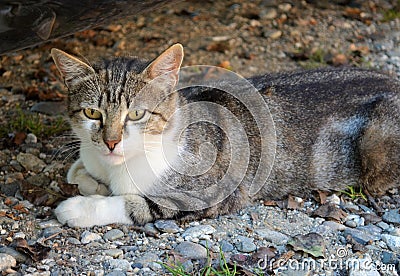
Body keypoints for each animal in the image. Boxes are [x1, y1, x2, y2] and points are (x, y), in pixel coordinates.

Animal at [51, 43, 400, 227]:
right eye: (92, 113)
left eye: (137, 114)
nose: (111, 141)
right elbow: (79, 171)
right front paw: (87, 179)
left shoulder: (213, 194)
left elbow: (135, 204)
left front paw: (79, 208)